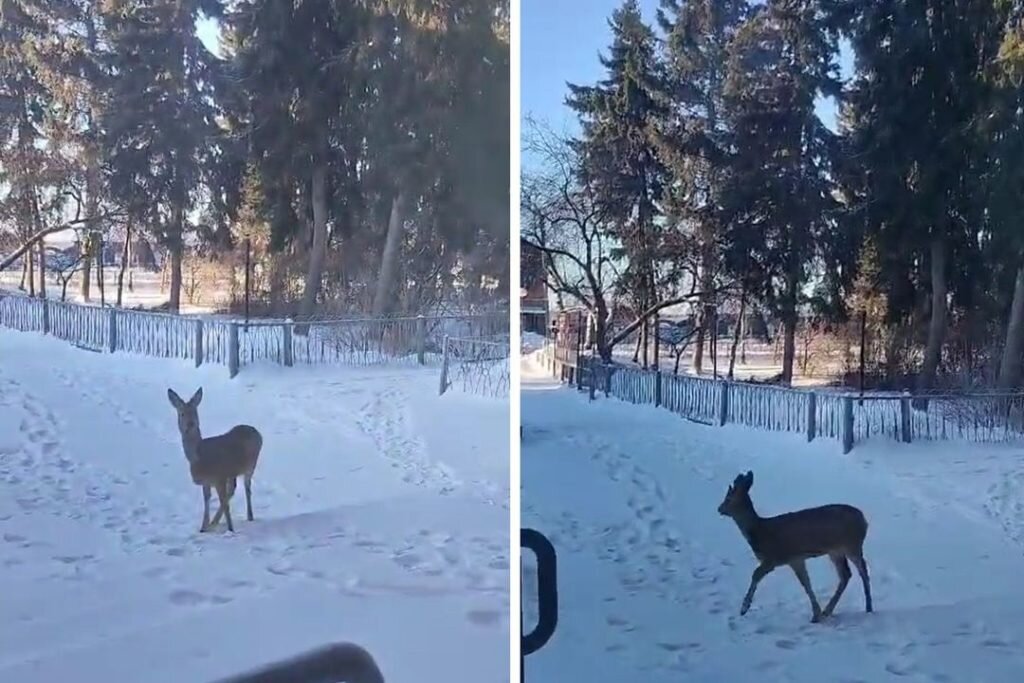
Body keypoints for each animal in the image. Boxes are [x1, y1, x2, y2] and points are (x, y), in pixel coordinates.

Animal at [167, 387, 264, 532]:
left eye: (195, 412)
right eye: (182, 413)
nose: (190, 424)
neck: (199, 456)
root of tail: (257, 432)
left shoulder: (220, 477)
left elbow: (223, 502)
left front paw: (230, 529)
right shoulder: (207, 481)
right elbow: (207, 500)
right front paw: (203, 527)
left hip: (250, 465)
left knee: (246, 489)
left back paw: (249, 516)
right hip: (233, 472)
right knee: (233, 489)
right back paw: (215, 522)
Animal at [720, 471, 872, 626]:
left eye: (728, 498)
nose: (719, 509)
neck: (759, 531)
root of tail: (864, 520)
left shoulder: (775, 557)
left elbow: (756, 574)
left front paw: (744, 608)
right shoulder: (795, 559)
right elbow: (806, 583)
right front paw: (816, 614)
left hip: (852, 544)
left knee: (863, 570)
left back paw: (868, 607)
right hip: (836, 551)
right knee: (846, 574)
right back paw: (828, 610)